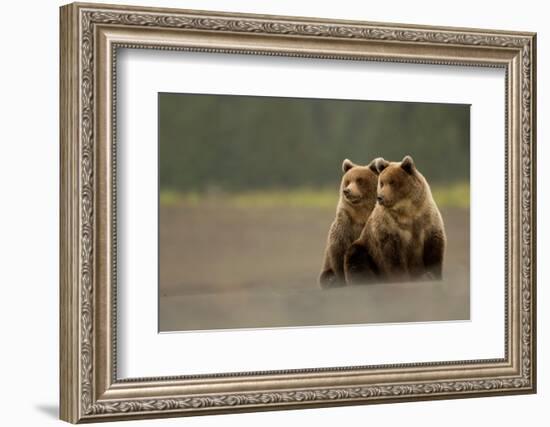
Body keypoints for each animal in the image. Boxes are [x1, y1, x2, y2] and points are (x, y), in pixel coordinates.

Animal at [322, 159, 382, 290]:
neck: (360, 214)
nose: (347, 191)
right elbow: (339, 250)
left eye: (359, 180)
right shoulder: (345, 224)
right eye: (348, 181)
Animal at [344, 155, 448, 284]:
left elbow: (434, 247)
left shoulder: (426, 218)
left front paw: (432, 275)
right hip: (366, 250)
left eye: (392, 182)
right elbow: (393, 255)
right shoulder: (389, 226)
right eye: (382, 183)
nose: (380, 197)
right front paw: (401, 278)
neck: (407, 211)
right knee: (355, 257)